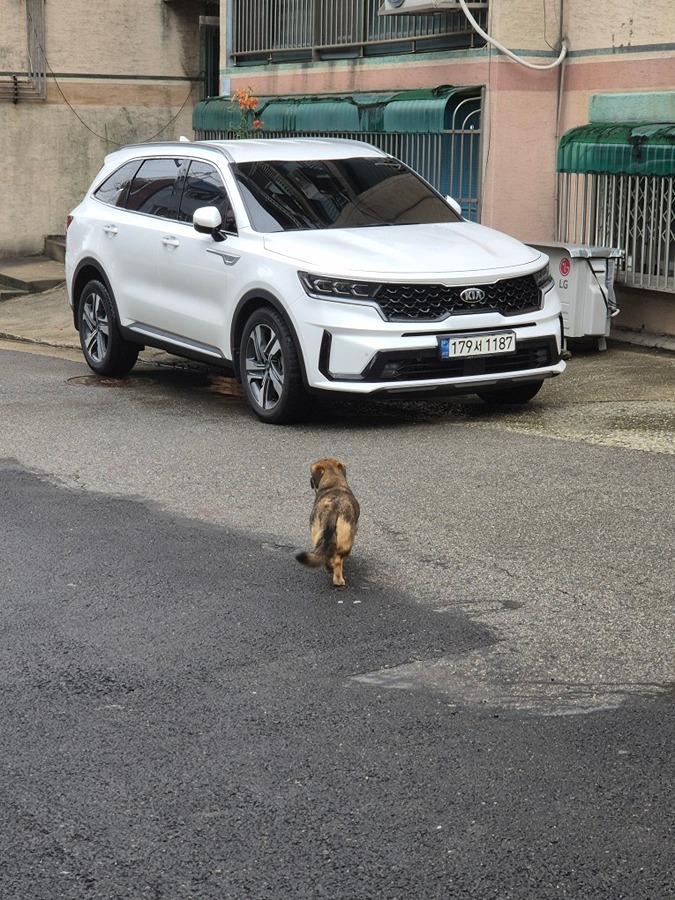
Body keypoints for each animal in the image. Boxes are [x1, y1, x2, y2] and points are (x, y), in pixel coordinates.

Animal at [296, 460, 360, 588]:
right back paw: (338, 580)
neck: (333, 482)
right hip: (346, 541)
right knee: (337, 559)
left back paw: (329, 568)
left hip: (317, 533)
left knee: (325, 556)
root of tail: (332, 510)